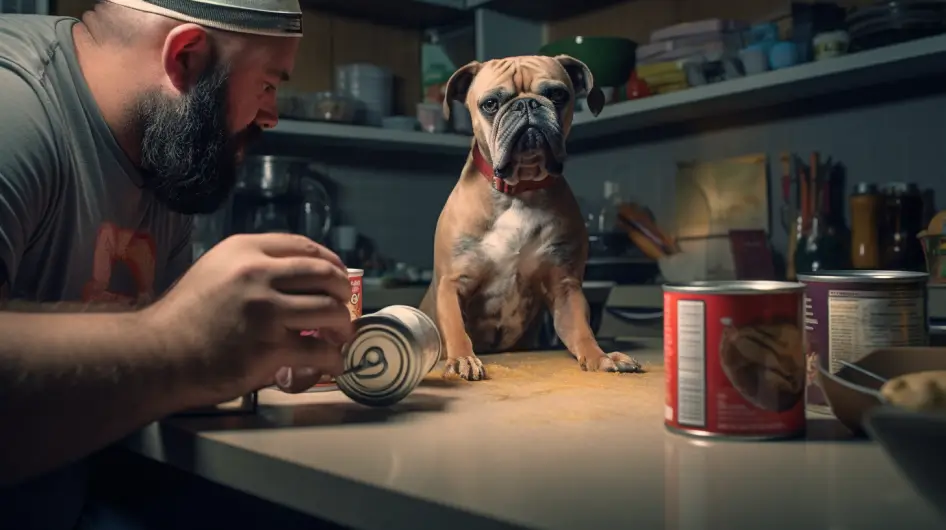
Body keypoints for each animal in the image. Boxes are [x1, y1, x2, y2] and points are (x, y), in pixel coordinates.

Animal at [418, 54, 640, 380]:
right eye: (490, 104)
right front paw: (462, 358)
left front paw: (599, 356)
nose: (527, 104)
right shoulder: (452, 282)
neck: (519, 191)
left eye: (558, 95)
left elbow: (581, 331)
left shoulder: (565, 288)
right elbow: (457, 328)